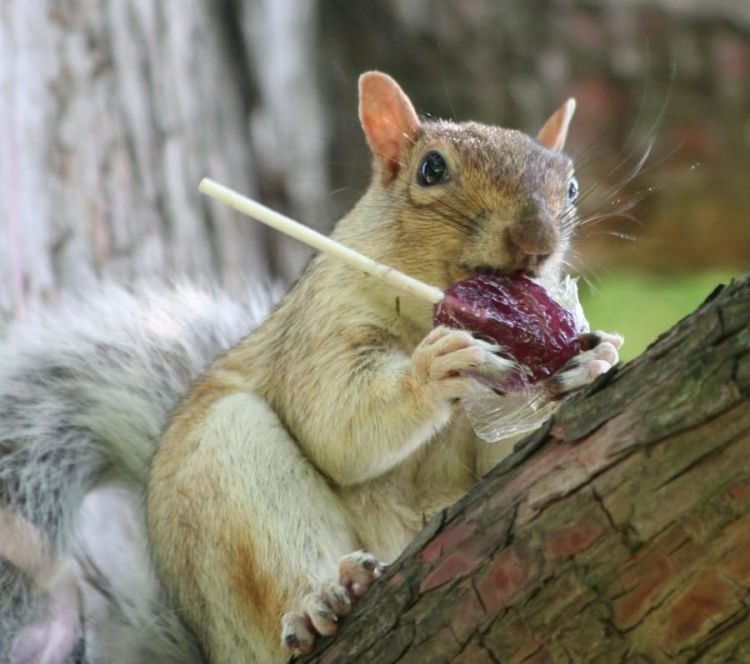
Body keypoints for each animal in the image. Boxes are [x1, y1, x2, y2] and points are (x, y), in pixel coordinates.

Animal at [0, 70, 624, 660]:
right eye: (431, 169)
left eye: (571, 185)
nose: (535, 242)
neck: (426, 313)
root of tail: (213, 646)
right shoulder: (318, 331)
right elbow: (337, 425)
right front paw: (430, 371)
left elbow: (511, 455)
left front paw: (590, 362)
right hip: (230, 466)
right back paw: (323, 597)